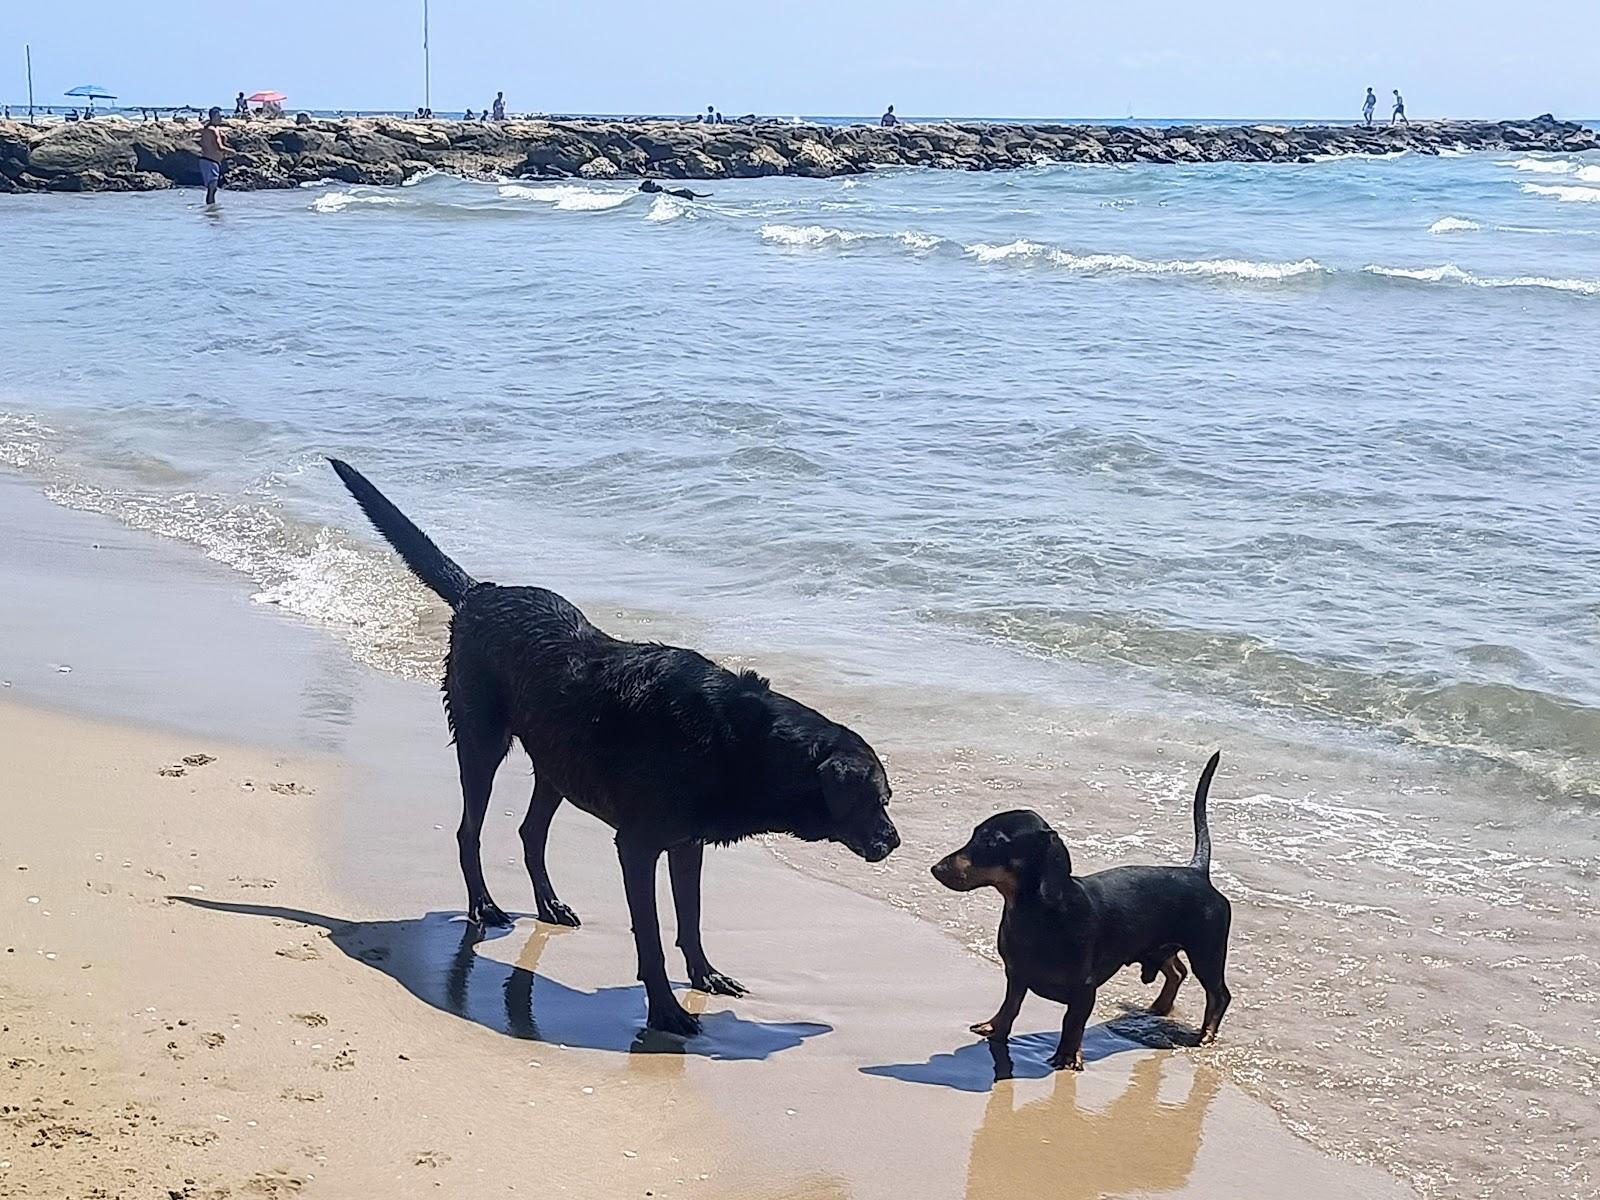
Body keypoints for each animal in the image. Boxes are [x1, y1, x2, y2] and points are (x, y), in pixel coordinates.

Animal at [331, 460, 902, 1043]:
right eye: (873, 798)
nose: (895, 841)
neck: (740, 741)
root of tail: (479, 594)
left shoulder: (687, 842)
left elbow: (691, 917)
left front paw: (705, 975)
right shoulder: (638, 845)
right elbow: (650, 934)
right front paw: (666, 1011)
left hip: (557, 765)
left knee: (530, 832)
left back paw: (549, 904)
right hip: (482, 743)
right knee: (470, 830)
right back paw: (484, 905)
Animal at [934, 755, 1228, 1075]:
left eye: (992, 842)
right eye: (975, 834)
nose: (937, 869)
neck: (1037, 914)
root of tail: (1197, 871)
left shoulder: (1084, 988)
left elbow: (1072, 1022)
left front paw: (1067, 1056)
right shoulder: (1016, 973)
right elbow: (1010, 1005)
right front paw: (995, 1029)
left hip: (1207, 953)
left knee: (1219, 994)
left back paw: (1206, 1035)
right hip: (1161, 946)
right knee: (1177, 971)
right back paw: (1159, 1007)